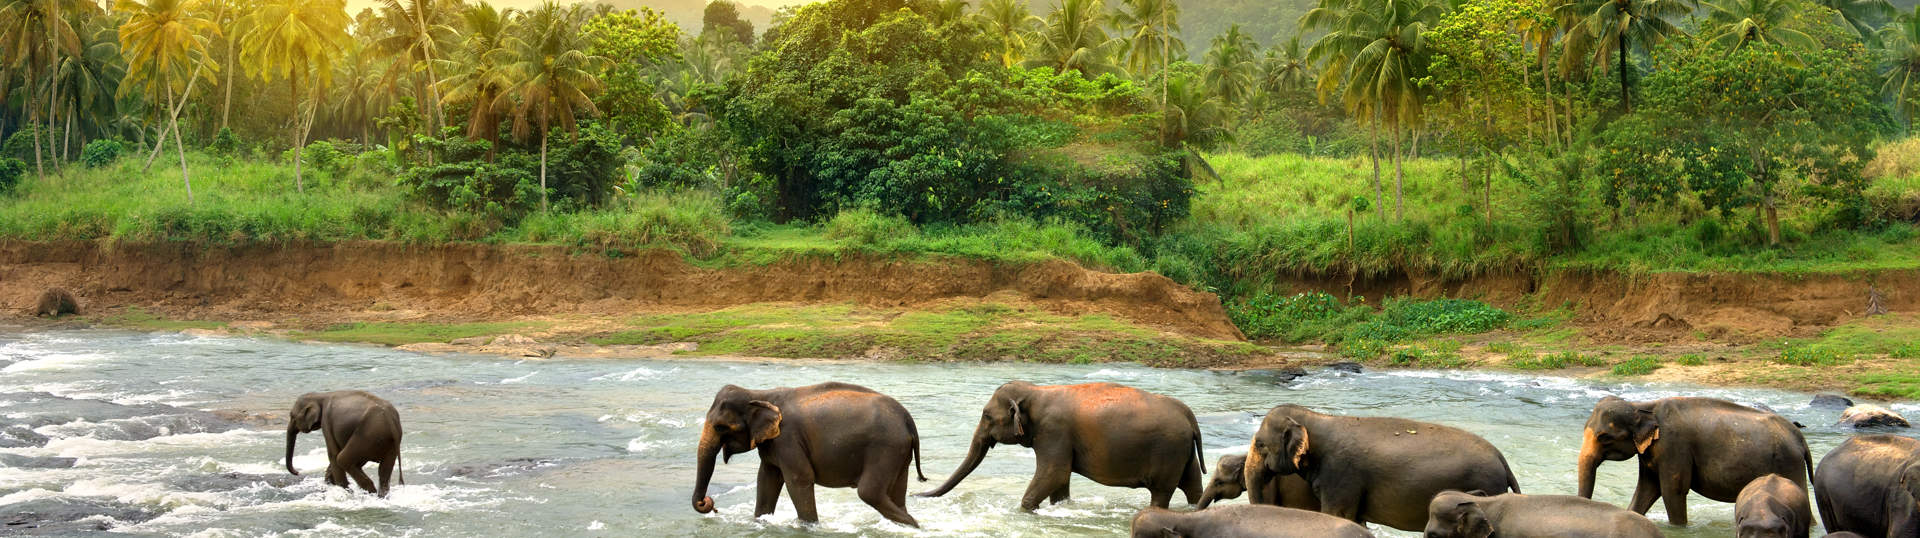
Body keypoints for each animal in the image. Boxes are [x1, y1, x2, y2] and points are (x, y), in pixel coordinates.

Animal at [690, 382, 925, 527]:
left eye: (720, 427)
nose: (708, 503)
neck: (759, 394)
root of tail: (908, 419)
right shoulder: (772, 444)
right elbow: (766, 478)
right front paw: (760, 522)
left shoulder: (788, 439)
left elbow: (799, 479)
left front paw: (809, 527)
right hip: (899, 453)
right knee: (896, 494)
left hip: (885, 448)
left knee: (869, 492)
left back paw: (914, 526)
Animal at [918, 381, 1206, 510]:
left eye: (987, 417)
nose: (918, 492)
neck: (1035, 392)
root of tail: (1189, 414)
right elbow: (1060, 480)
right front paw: (1061, 507)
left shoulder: (1053, 432)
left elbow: (1053, 473)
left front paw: (1026, 510)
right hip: (1184, 452)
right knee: (1193, 486)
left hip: (1169, 451)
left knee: (1161, 492)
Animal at [1243, 404, 1521, 532]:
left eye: (1260, 444)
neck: (1316, 417)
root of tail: (1502, 459)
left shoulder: (1341, 477)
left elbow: (1336, 515)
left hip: (1486, 484)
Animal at [1576, 396, 1812, 526]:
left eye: (1604, 438)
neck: (1642, 406)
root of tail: (1799, 436)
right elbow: (1647, 489)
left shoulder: (1674, 445)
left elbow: (1672, 490)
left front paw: (1679, 529)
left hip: (1789, 464)